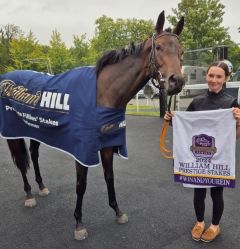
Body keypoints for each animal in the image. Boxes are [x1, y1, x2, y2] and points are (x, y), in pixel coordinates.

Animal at [0, 11, 185, 239]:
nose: (176, 81)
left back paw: (41, 186)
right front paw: (79, 223)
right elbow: (81, 185)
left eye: (181, 51)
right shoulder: (83, 150)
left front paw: (117, 211)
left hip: (38, 130)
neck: (103, 94)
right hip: (13, 133)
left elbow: (109, 177)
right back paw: (28, 194)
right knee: (20, 161)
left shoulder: (107, 145)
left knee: (33, 154)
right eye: (158, 47)